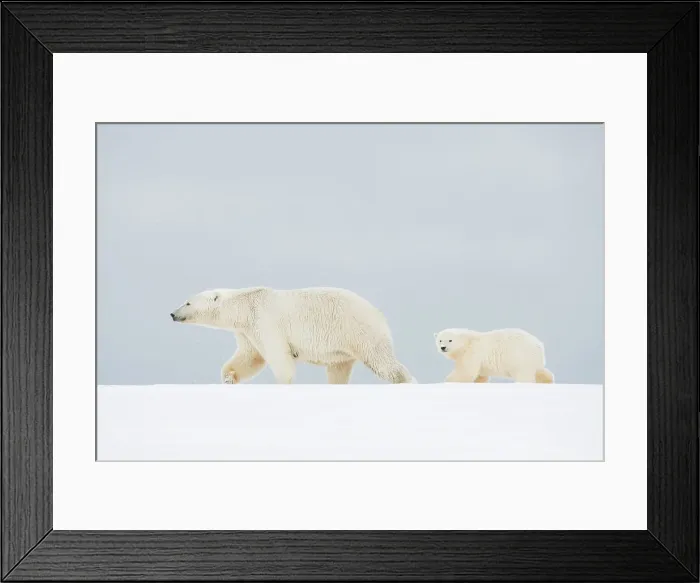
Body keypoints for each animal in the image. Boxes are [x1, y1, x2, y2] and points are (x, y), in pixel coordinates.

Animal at [170, 286, 415, 385]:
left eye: (188, 302)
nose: (172, 313)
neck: (245, 306)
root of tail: (378, 313)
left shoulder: (265, 321)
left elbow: (279, 357)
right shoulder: (247, 331)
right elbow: (250, 357)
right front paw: (229, 377)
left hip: (358, 330)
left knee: (383, 362)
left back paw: (405, 380)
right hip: (343, 347)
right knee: (338, 369)